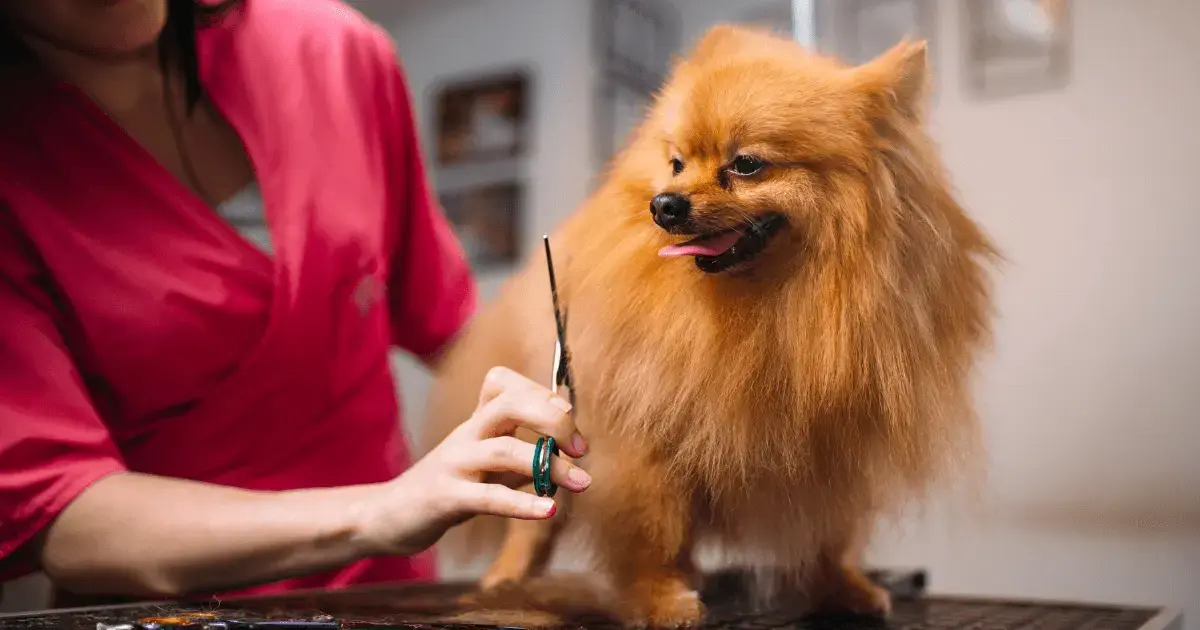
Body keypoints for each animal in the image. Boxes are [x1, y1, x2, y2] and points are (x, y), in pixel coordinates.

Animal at [417, 23, 998, 624]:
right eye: (677, 162)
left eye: (746, 164)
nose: (663, 204)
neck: (774, 305)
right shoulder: (648, 437)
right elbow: (655, 527)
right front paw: (661, 599)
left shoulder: (833, 446)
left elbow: (830, 534)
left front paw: (842, 586)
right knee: (536, 522)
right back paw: (507, 576)